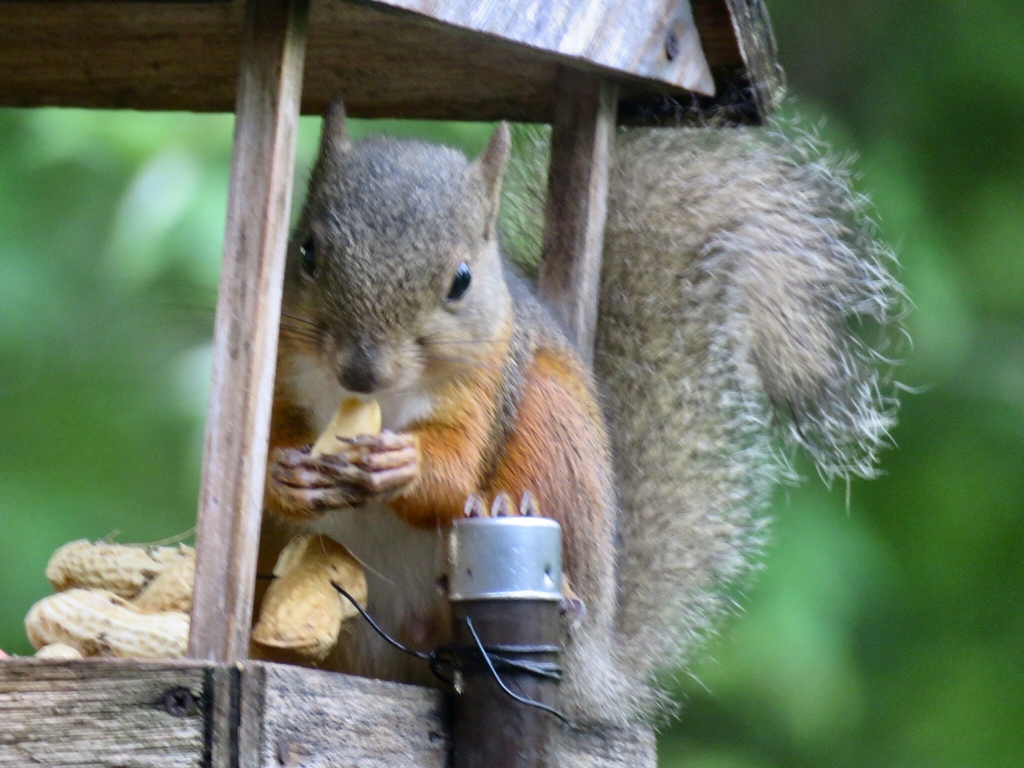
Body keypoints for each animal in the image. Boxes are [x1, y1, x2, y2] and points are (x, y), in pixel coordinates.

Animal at [260, 97, 901, 729]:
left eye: (461, 281)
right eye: (307, 251)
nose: (361, 371)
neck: (379, 401)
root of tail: (596, 677)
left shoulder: (490, 382)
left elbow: (454, 470)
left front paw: (400, 463)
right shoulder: (281, 368)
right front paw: (285, 474)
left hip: (552, 426)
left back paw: (545, 570)